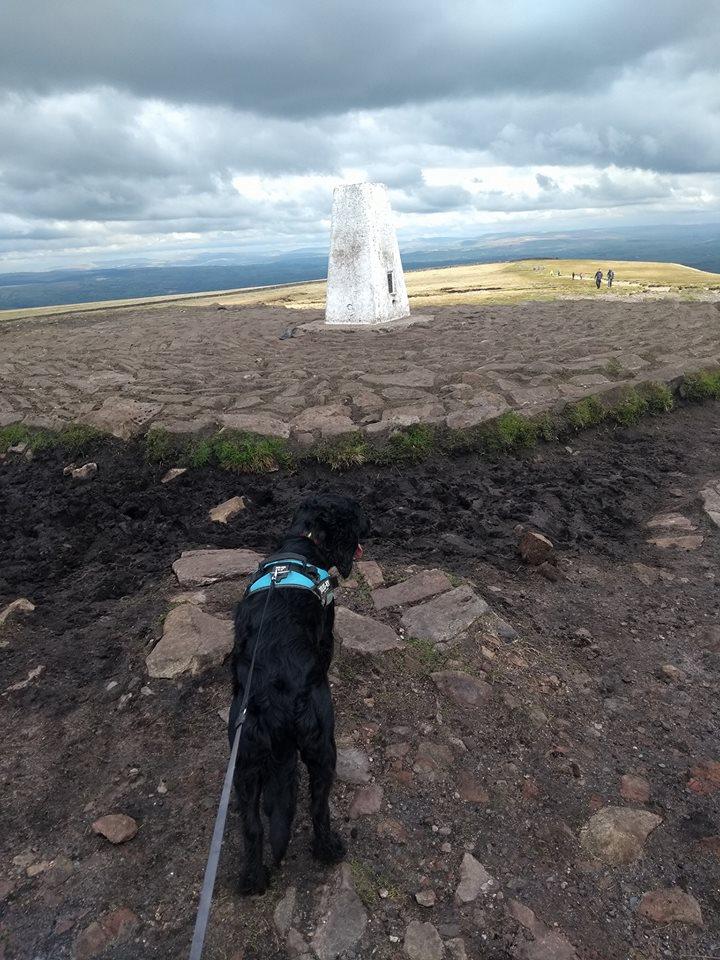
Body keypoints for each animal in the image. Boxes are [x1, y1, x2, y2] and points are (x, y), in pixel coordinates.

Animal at [229, 492, 368, 896]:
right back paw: (329, 849)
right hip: (322, 744)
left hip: (244, 761)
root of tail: (275, 699)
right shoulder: (327, 630)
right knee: (319, 808)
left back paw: (252, 880)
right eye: (358, 515)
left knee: (253, 827)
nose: (371, 525)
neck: (302, 541)